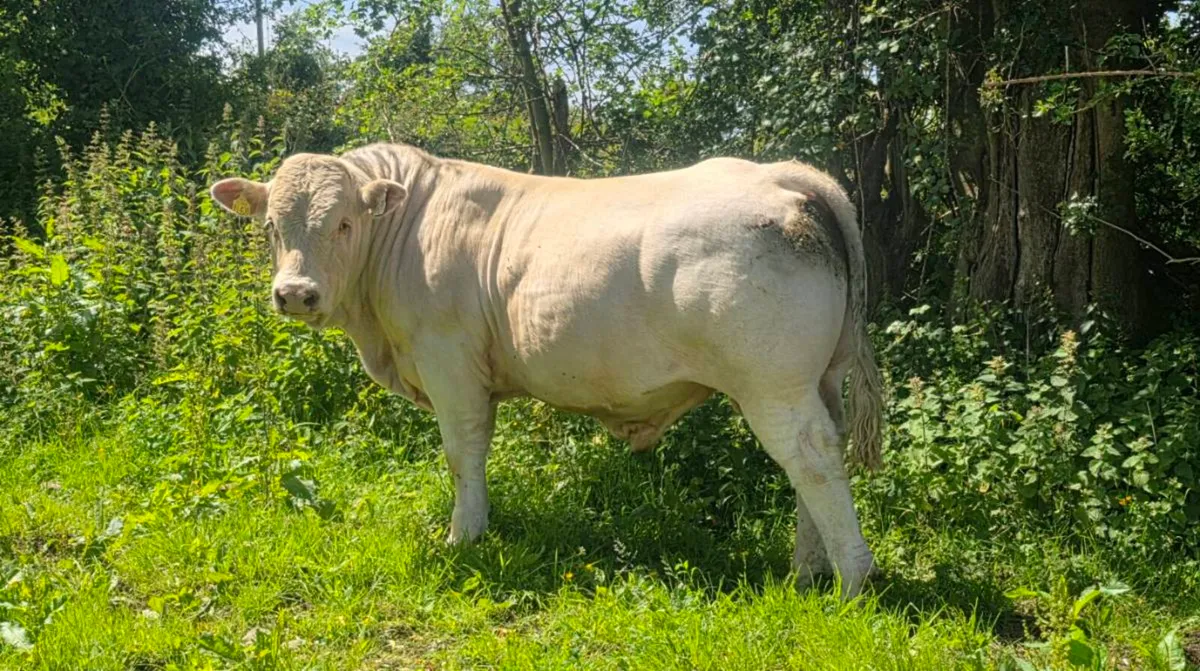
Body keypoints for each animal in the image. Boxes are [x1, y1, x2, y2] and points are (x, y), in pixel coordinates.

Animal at [210, 143, 885, 597]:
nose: (295, 294)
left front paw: (464, 536)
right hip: (818, 380)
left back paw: (851, 581)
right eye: (270, 227)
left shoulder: (448, 363)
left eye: (344, 223)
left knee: (813, 459)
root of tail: (782, 176)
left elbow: (463, 454)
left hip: (774, 385)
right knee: (815, 460)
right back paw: (806, 572)